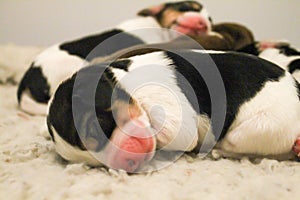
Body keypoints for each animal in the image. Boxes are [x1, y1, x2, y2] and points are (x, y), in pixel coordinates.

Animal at [47, 48, 300, 172]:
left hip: (256, 130)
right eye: (92, 165)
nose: (128, 165)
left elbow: (176, 133)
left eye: (95, 127)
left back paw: (217, 151)